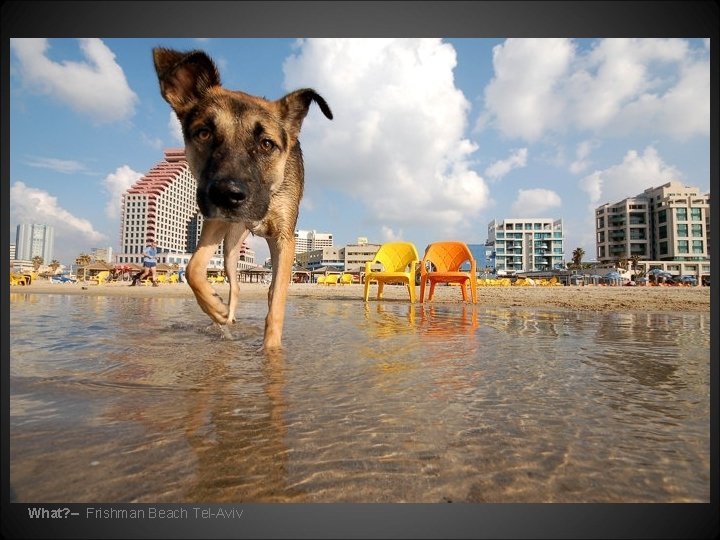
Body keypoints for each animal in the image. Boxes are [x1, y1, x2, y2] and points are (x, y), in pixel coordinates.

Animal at [153, 46, 334, 350]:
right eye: (204, 133)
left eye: (266, 144)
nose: (228, 194)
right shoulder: (215, 220)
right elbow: (193, 268)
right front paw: (216, 308)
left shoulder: (285, 238)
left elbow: (276, 301)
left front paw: (271, 351)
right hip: (230, 247)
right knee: (235, 285)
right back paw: (226, 318)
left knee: (267, 290)